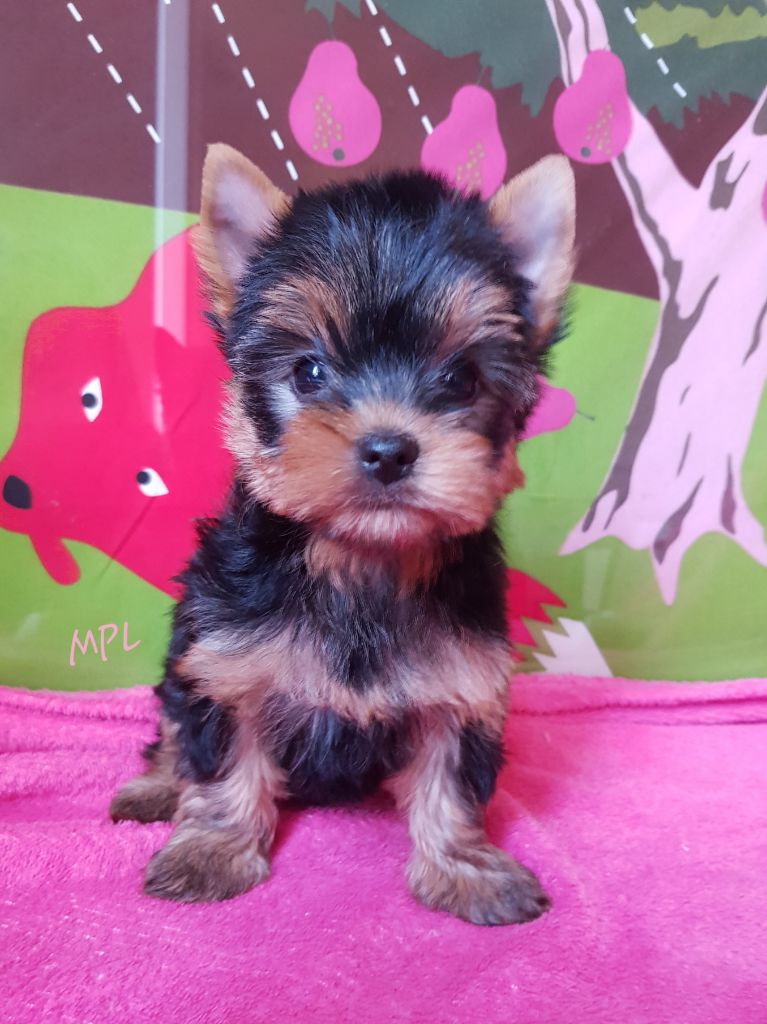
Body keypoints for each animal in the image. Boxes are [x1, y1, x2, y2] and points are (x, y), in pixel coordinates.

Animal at [110, 144, 575, 926]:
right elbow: (221, 757)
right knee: (171, 732)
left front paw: (464, 868)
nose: (388, 451)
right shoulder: (224, 664)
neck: (358, 555)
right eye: (309, 371)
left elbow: (451, 779)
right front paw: (213, 850)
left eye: (460, 379)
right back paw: (155, 788)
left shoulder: (465, 682)